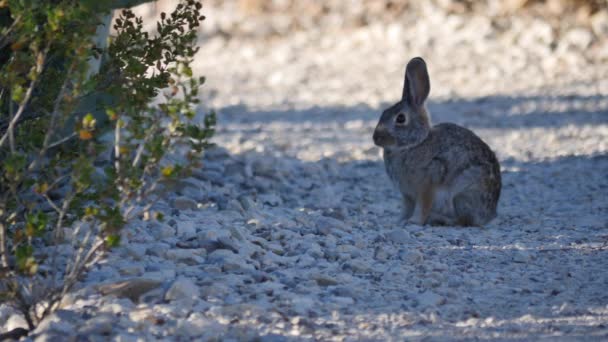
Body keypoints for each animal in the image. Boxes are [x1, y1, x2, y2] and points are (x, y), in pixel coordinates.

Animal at [372, 57, 502, 226]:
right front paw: (399, 220)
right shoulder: (406, 195)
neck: (414, 144)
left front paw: (414, 221)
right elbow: (406, 208)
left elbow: (423, 206)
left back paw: (439, 219)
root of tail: (490, 214)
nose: (375, 138)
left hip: (462, 195)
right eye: (383, 113)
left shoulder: (427, 183)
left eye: (400, 118)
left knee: (463, 220)